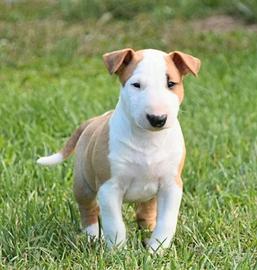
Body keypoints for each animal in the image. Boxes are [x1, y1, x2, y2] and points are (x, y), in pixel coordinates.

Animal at [37, 48, 200, 253]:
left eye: (171, 84)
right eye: (136, 85)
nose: (158, 119)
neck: (147, 139)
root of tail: (93, 120)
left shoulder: (171, 185)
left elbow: (166, 221)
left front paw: (156, 250)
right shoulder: (109, 187)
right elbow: (115, 224)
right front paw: (118, 252)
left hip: (150, 194)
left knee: (146, 211)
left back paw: (147, 231)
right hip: (83, 183)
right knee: (88, 209)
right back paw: (91, 237)